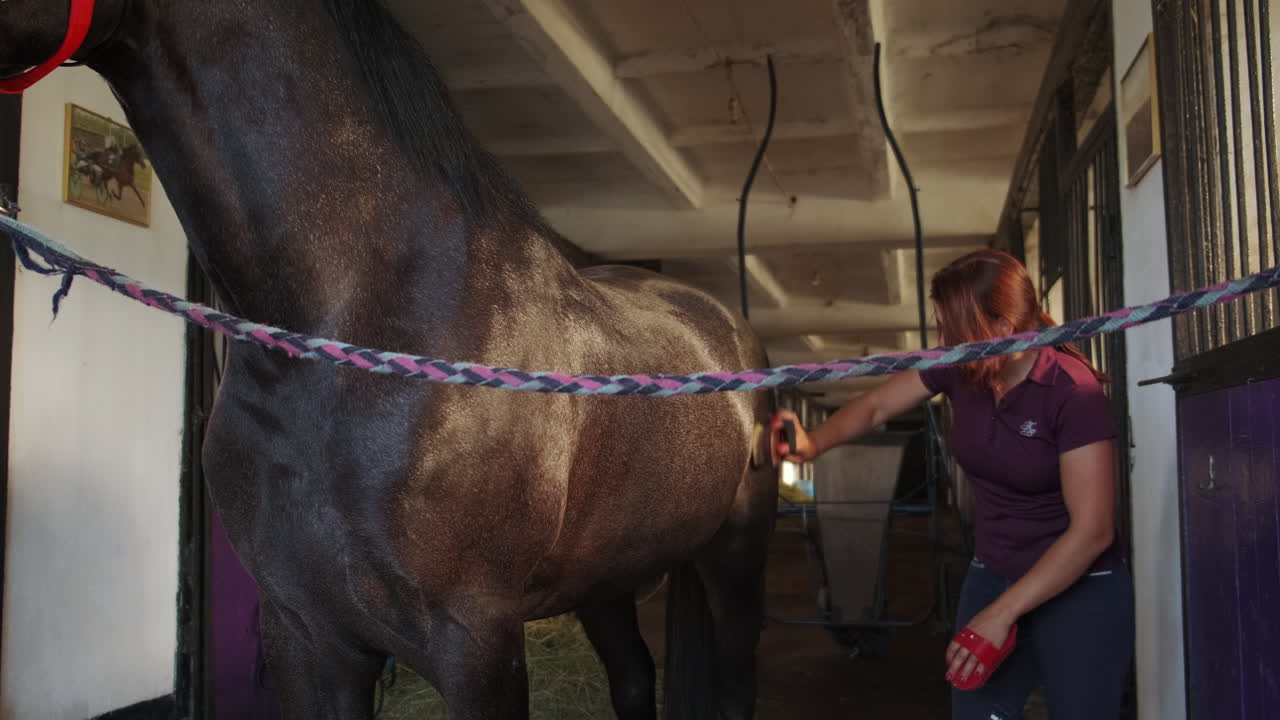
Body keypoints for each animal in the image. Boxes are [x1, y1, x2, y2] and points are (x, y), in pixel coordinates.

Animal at [1, 2, 779, 718]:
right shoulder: (305, 634)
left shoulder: (476, 642)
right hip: (605, 579)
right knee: (634, 678)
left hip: (736, 560)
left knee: (735, 681)